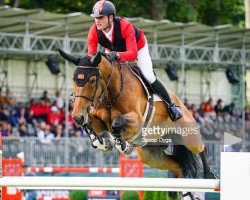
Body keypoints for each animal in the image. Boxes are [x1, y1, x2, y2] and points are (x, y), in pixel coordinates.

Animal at [58, 48, 215, 180]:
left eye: (92, 80)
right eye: (74, 79)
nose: (77, 116)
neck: (111, 94)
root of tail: (181, 103)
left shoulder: (137, 122)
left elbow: (116, 123)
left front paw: (123, 146)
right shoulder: (99, 123)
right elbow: (89, 125)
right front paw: (102, 143)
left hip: (188, 136)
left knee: (202, 148)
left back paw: (209, 175)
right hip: (151, 155)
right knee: (178, 165)